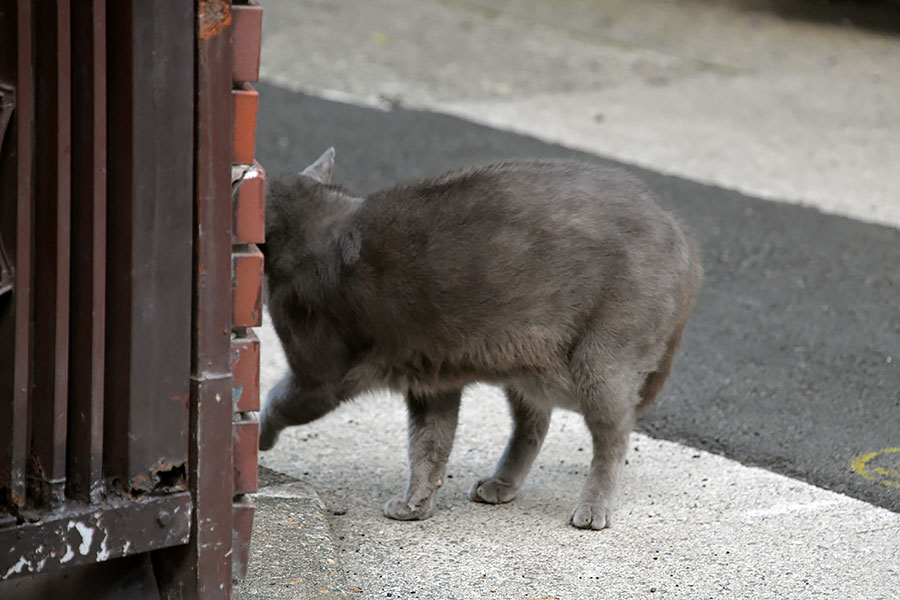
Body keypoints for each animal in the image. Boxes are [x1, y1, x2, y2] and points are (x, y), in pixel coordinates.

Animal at [256, 149, 700, 528]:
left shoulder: (319, 376)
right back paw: (501, 483)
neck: (320, 223)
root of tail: (680, 235)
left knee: (614, 435)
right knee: (534, 423)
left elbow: (277, 401)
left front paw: (257, 440)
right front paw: (416, 506)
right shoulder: (431, 380)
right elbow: (429, 447)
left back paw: (592, 507)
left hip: (599, 361)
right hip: (526, 365)